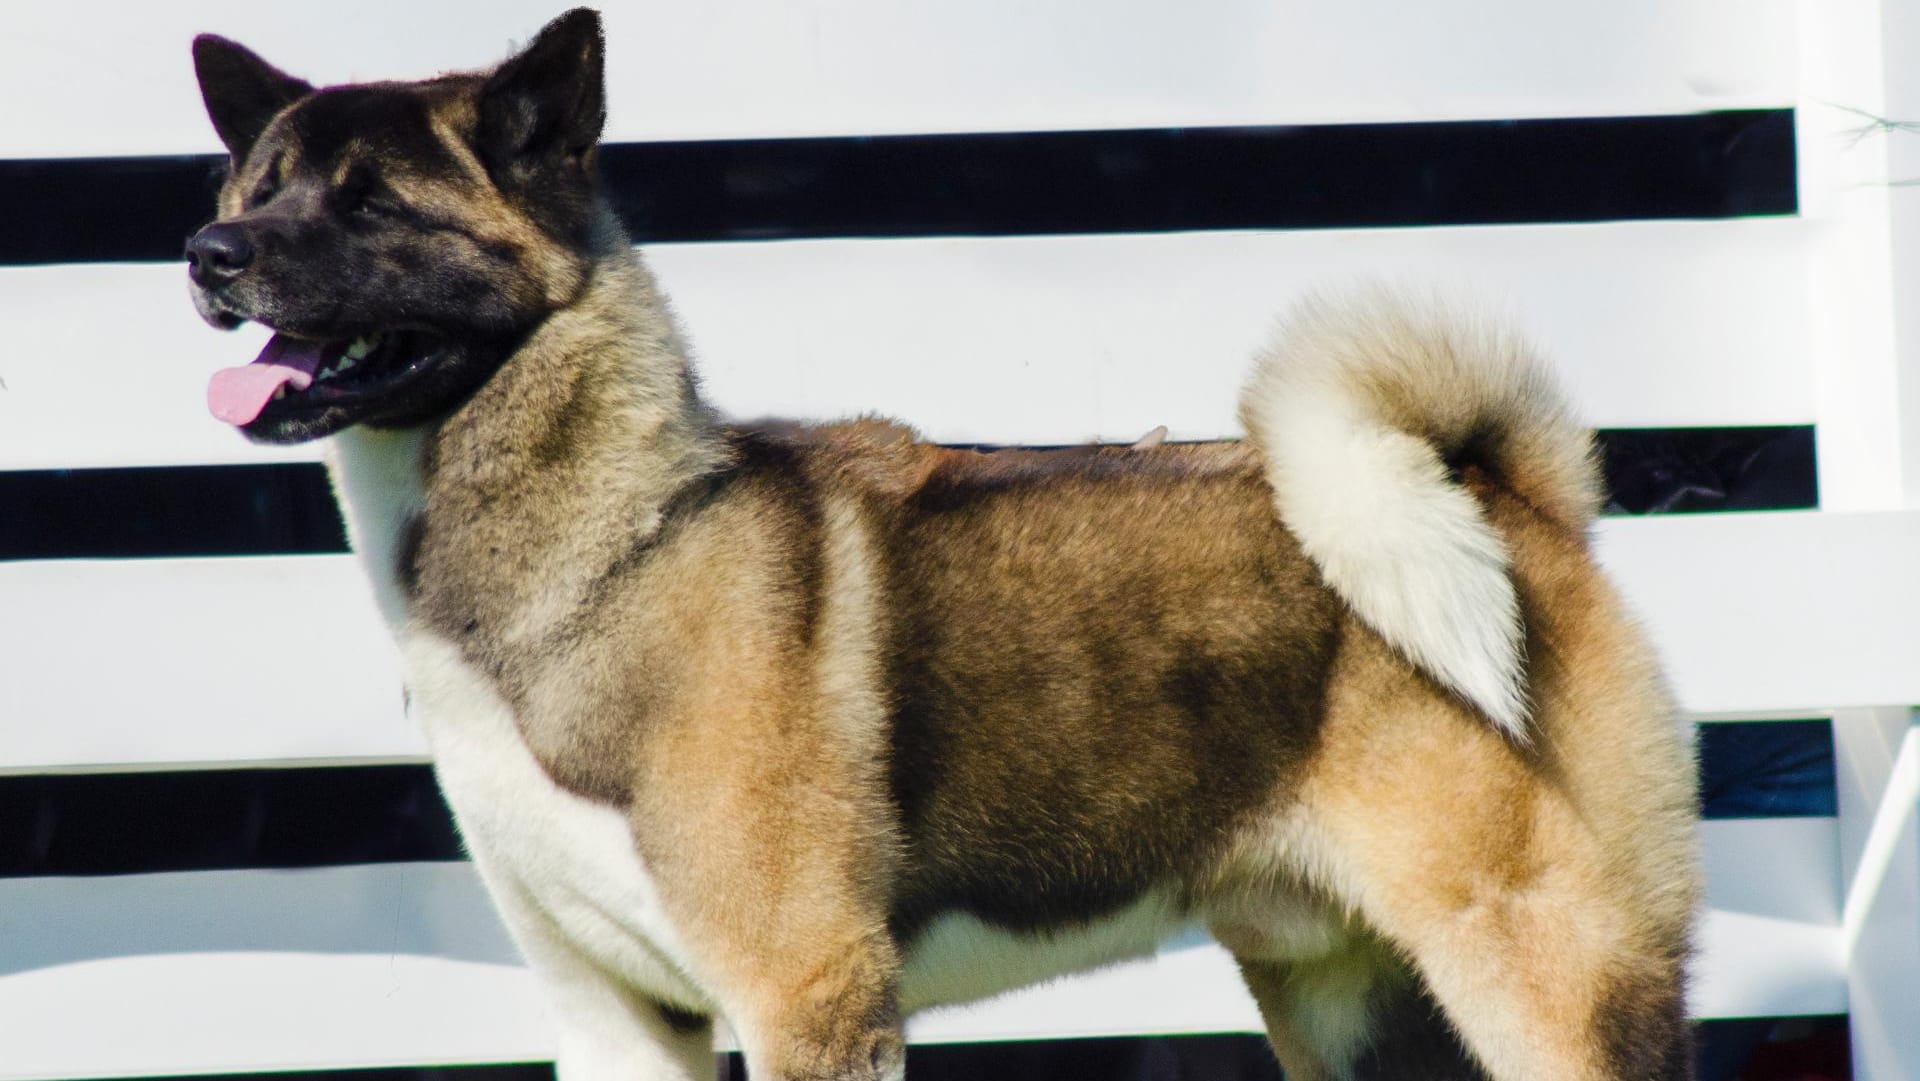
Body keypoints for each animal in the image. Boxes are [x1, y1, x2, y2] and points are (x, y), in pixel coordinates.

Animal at [191, 10, 1697, 1081]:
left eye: (372, 205)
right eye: (258, 187)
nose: (208, 252)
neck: (622, 539)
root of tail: (1508, 496)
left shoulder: (811, 996)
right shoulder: (615, 1019)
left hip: (1549, 978)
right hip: (1358, 1000)